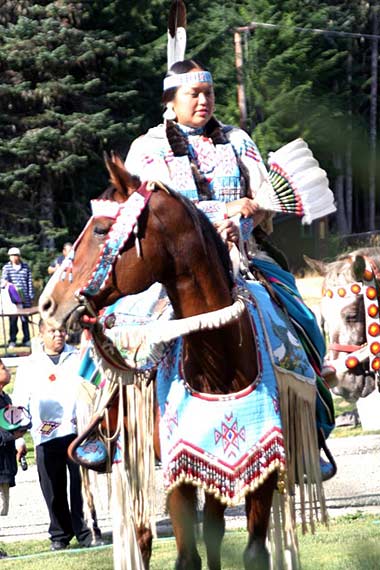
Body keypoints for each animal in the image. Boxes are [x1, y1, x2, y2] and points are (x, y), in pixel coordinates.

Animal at [40, 155, 326, 568]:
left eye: (102, 229)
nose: (48, 303)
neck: (219, 364)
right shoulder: (179, 476)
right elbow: (187, 556)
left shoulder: (261, 468)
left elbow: (250, 550)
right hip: (130, 458)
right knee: (142, 535)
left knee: (214, 531)